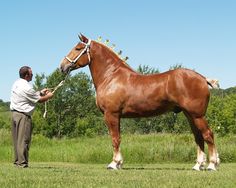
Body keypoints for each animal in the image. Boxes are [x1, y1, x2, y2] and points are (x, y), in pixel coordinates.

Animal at [60, 34, 220, 171]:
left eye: (78, 48)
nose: (62, 66)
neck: (111, 76)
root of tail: (202, 78)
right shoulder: (117, 116)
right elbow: (118, 138)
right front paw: (119, 163)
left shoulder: (111, 114)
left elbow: (115, 139)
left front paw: (114, 163)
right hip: (189, 115)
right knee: (198, 137)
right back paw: (198, 165)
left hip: (197, 115)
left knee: (208, 135)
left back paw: (212, 165)